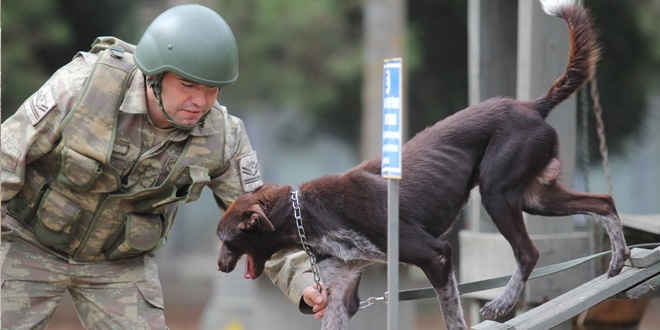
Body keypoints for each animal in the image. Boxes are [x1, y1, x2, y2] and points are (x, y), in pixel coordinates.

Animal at [215, 1, 628, 328]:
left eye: (226, 239)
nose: (219, 266)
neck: (309, 213)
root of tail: (532, 105)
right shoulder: (343, 289)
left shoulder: (436, 255)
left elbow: (452, 315)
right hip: (535, 197)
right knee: (604, 202)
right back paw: (618, 259)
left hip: (497, 193)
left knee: (529, 253)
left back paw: (501, 304)